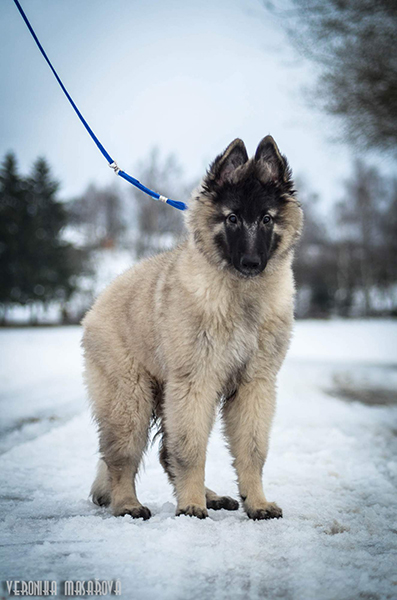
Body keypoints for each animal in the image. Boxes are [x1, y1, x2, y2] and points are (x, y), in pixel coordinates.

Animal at [82, 136, 302, 520]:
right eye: (232, 218)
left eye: (266, 219)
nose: (251, 263)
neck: (240, 296)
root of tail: (97, 303)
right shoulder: (195, 383)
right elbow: (191, 449)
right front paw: (190, 505)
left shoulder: (254, 385)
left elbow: (252, 450)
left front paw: (256, 503)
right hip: (129, 400)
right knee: (121, 457)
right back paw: (127, 503)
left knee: (162, 453)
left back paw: (210, 496)